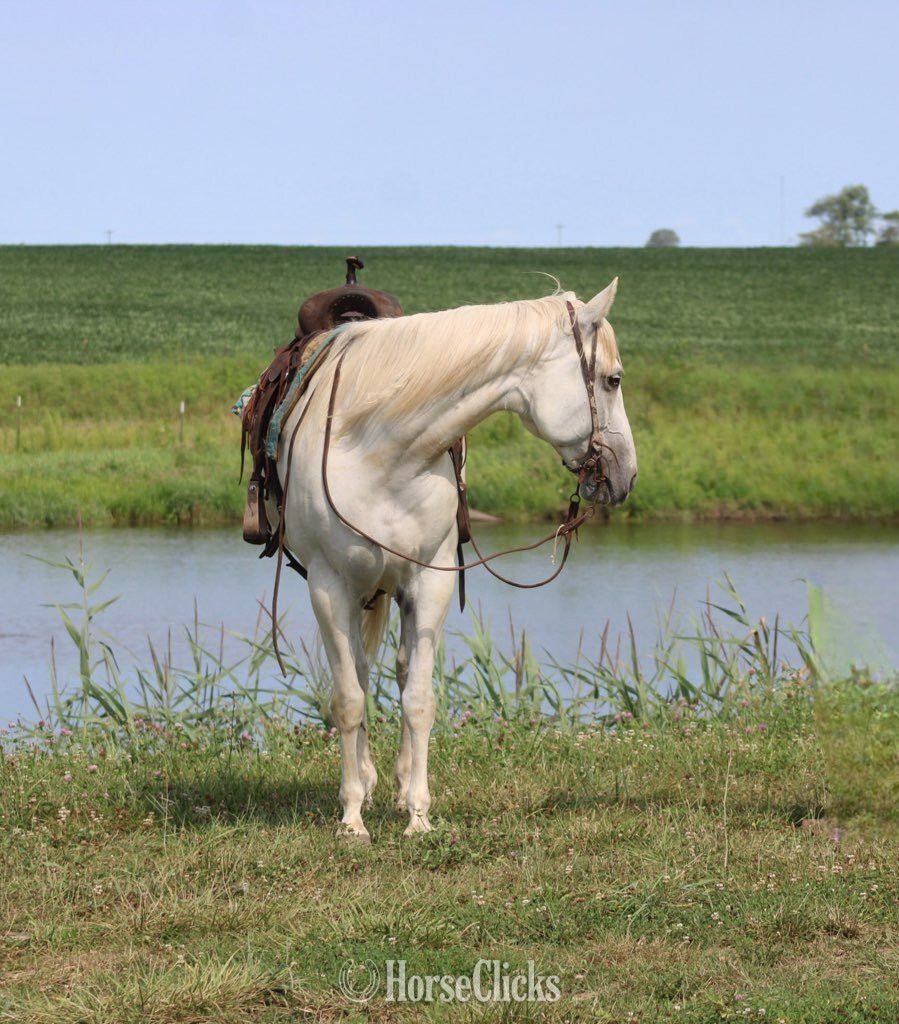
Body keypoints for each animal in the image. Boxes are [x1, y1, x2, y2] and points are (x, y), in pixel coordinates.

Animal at [275, 278, 637, 841]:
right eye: (613, 379)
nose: (627, 476)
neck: (378, 445)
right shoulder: (328, 587)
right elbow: (348, 700)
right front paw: (352, 819)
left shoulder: (431, 582)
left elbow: (419, 700)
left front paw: (419, 815)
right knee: (359, 672)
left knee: (399, 671)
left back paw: (399, 785)